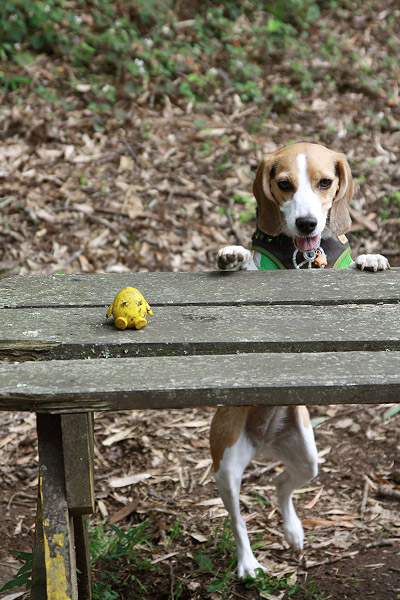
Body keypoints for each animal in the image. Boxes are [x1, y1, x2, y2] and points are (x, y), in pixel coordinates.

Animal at [211, 143, 390, 580]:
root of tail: (264, 441)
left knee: (281, 486)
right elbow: (247, 267)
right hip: (226, 467)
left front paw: (373, 258)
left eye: (325, 182)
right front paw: (233, 255)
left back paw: (293, 531)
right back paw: (247, 563)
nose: (308, 223)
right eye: (284, 184)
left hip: (307, 457)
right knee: (238, 521)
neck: (302, 260)